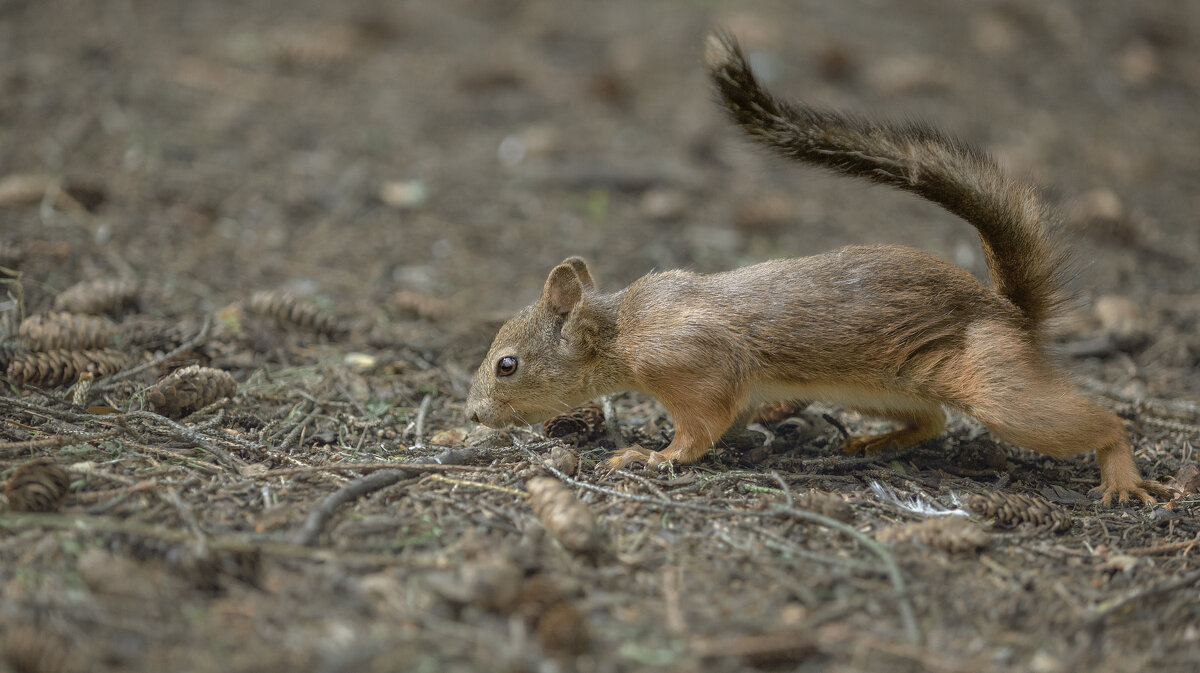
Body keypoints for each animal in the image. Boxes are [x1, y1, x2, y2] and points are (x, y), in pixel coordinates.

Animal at [465, 31, 1161, 503]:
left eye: (508, 365)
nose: (472, 416)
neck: (626, 326)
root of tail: (1010, 312)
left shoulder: (693, 365)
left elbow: (701, 427)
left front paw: (650, 456)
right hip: (886, 386)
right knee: (931, 420)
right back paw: (871, 443)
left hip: (991, 385)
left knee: (1095, 421)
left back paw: (1121, 474)